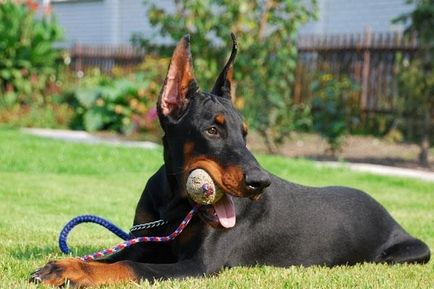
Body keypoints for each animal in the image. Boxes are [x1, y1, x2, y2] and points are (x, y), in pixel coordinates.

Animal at [30, 33, 430, 286]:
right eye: (213, 130)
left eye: (245, 132)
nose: (259, 182)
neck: (174, 204)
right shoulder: (147, 240)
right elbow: (107, 256)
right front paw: (63, 265)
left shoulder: (199, 265)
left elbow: (129, 265)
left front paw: (76, 272)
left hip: (409, 252)